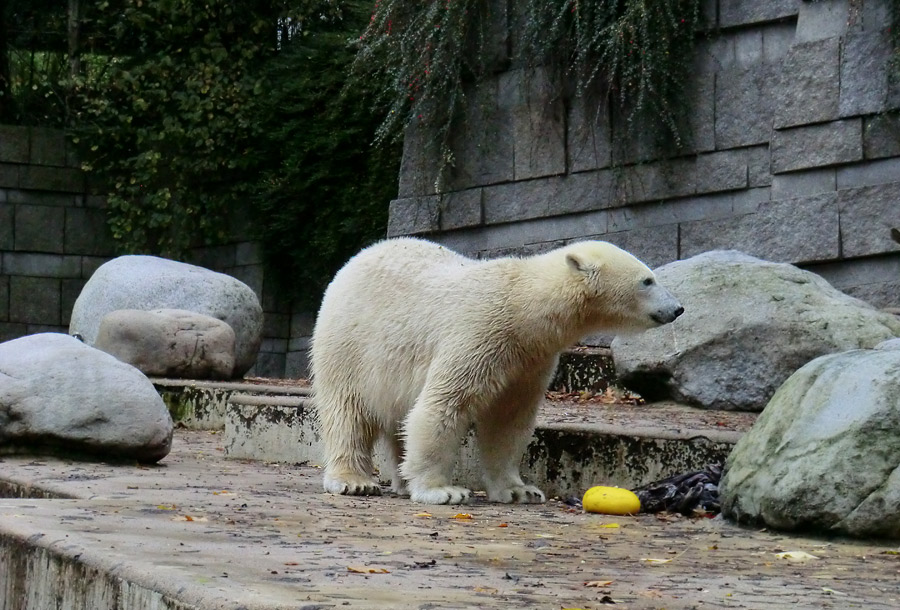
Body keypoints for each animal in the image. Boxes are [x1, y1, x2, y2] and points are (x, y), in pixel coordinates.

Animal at [310, 238, 684, 504]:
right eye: (647, 280)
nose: (678, 308)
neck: (523, 304)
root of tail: (353, 262)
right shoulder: (479, 333)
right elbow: (443, 405)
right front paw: (441, 490)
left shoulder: (529, 360)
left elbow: (509, 421)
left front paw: (520, 491)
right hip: (350, 345)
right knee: (348, 412)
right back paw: (354, 481)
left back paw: (400, 480)